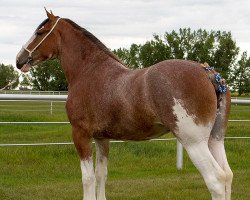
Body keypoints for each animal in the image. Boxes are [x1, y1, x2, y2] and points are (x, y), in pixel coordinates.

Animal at [16, 9, 232, 200]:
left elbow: (88, 178)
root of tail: (208, 72)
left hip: (194, 142)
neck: (89, 71)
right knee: (228, 175)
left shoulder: (81, 135)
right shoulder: (102, 138)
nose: (19, 59)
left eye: (40, 32)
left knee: (216, 180)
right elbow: (101, 175)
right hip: (215, 139)